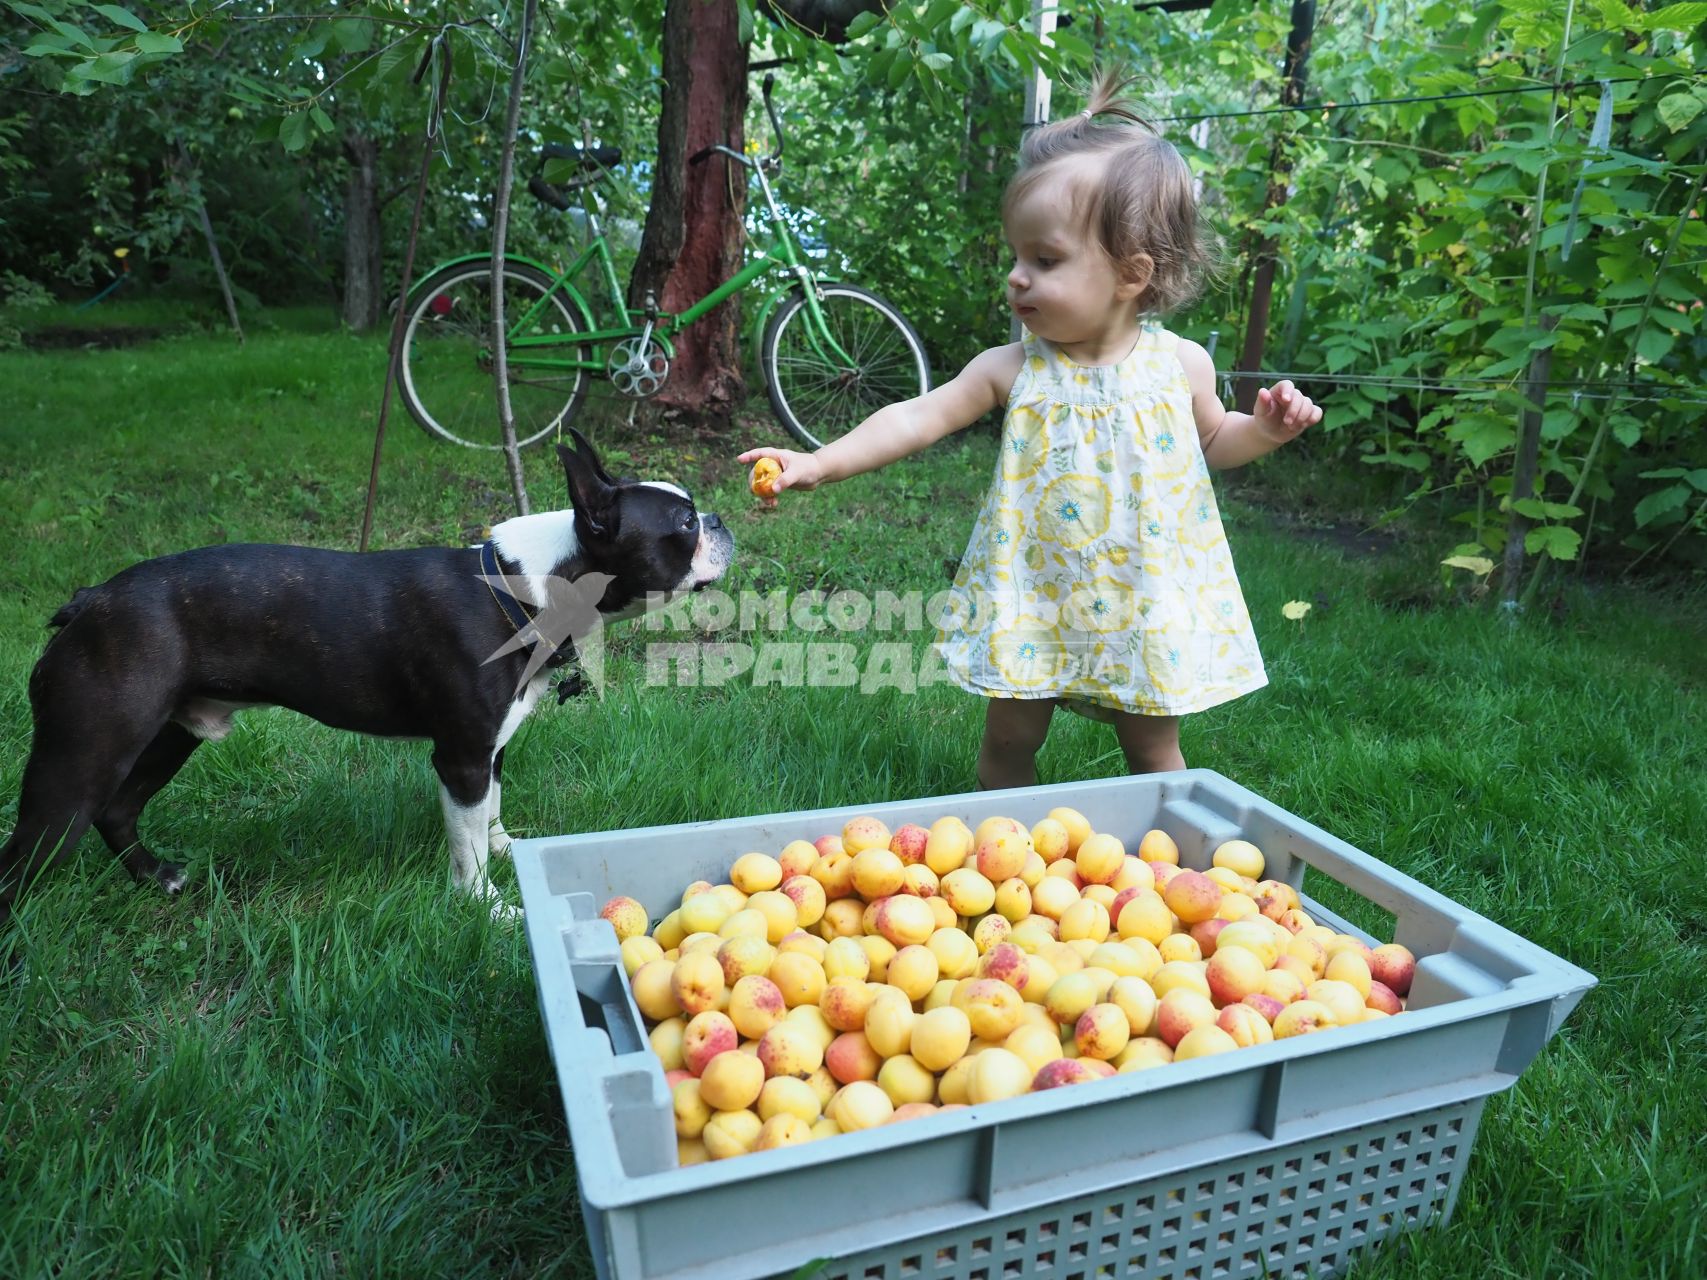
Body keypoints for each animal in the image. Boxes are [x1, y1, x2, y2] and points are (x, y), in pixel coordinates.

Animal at [0, 433, 734, 921]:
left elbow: (492, 816)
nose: (721, 520)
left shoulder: (491, 749)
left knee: (118, 809)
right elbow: (467, 842)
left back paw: (158, 878)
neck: (528, 587)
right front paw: (488, 908)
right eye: (683, 523)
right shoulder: (461, 758)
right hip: (80, 759)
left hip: (168, 735)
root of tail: (90, 599)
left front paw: (510, 857)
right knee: (26, 858)